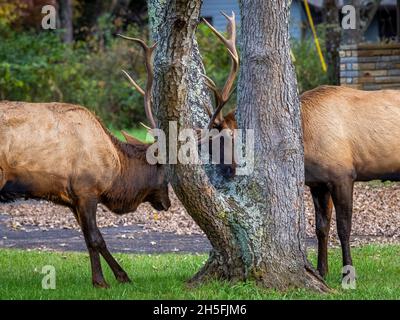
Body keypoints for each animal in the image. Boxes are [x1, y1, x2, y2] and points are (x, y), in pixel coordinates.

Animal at [0, 37, 170, 288]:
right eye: (165, 172)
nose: (168, 203)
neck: (116, 170)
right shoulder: (87, 191)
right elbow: (96, 238)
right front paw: (106, 280)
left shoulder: (72, 199)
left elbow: (88, 238)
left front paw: (112, 277)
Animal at [200, 11, 400, 278]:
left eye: (222, 138)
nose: (226, 171)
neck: (307, 143)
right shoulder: (318, 182)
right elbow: (321, 228)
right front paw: (321, 271)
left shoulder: (343, 174)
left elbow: (344, 228)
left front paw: (347, 273)